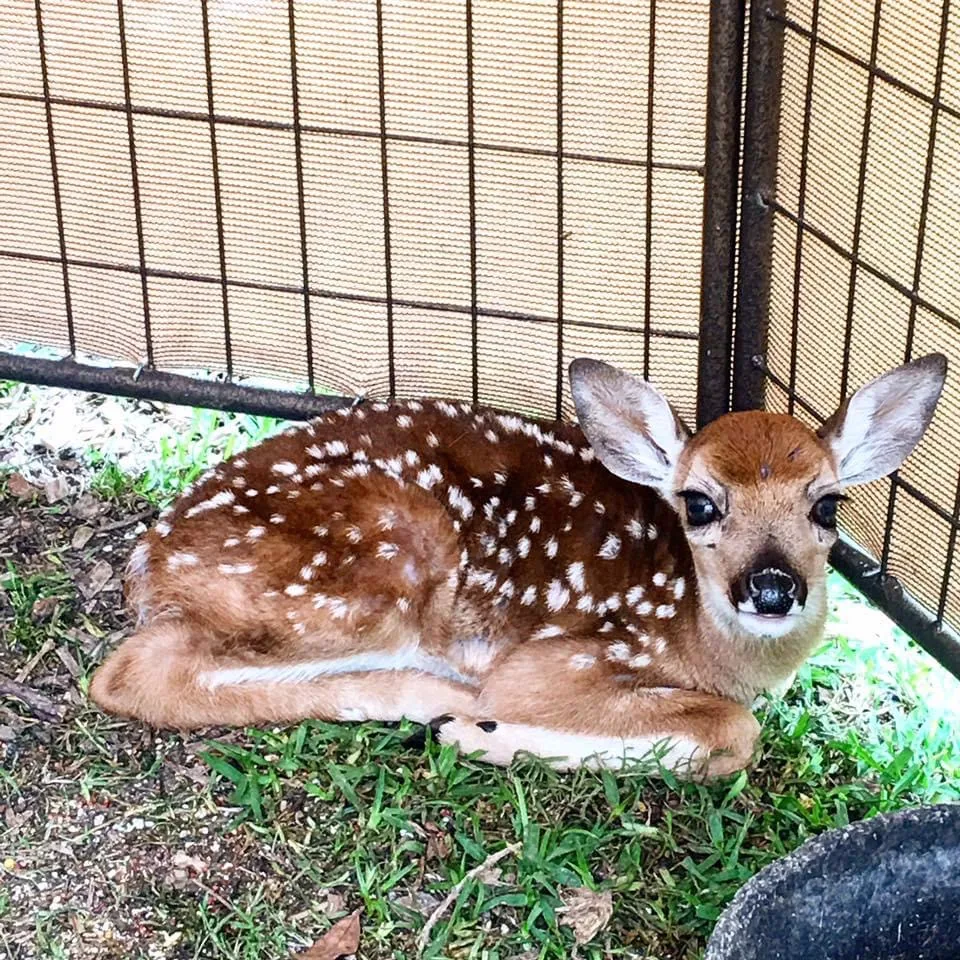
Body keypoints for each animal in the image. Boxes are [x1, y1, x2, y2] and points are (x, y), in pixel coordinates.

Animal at [88, 354, 947, 779]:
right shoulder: (567, 658)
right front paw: (487, 735)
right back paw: (437, 700)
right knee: (131, 675)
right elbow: (736, 734)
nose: (772, 587)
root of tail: (148, 556)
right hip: (377, 565)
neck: (698, 637)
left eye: (828, 506)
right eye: (700, 503)